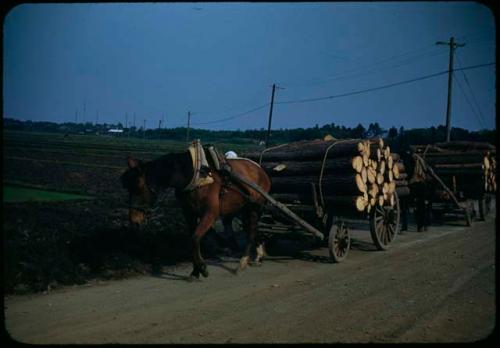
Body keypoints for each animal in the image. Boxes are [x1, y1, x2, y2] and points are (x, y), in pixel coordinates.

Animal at [120, 151, 272, 278]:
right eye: (127, 188)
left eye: (139, 187)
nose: (133, 219)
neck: (196, 177)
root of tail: (260, 169)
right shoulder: (189, 213)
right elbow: (193, 239)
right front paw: (195, 271)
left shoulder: (210, 213)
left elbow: (195, 238)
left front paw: (203, 268)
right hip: (244, 208)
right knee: (252, 229)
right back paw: (259, 255)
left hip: (254, 208)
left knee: (251, 232)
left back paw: (243, 262)